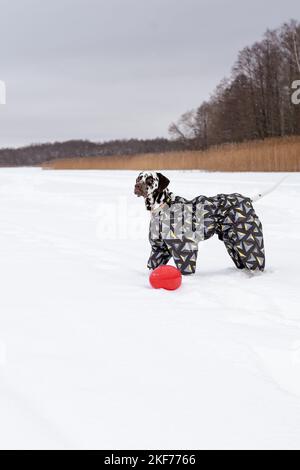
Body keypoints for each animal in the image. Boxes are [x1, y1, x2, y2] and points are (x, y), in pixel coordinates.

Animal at [134, 172, 264, 276]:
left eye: (150, 179)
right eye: (139, 178)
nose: (137, 186)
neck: (163, 207)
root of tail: (247, 199)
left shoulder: (184, 248)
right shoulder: (159, 249)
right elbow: (153, 265)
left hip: (248, 241)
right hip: (233, 245)